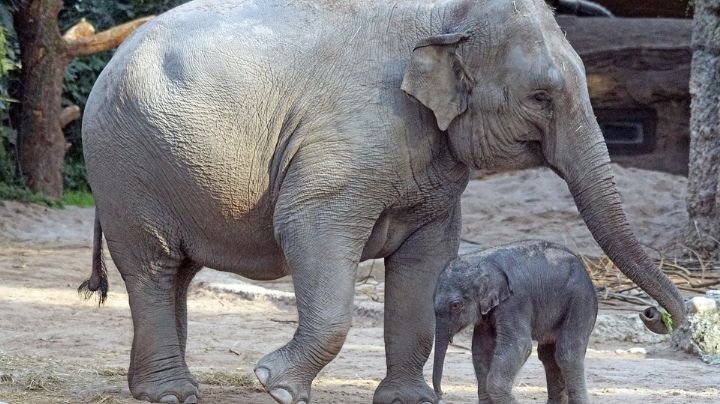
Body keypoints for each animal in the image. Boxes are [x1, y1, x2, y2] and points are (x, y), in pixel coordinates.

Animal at [432, 240, 598, 404]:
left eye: (455, 305)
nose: (441, 395)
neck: (481, 260)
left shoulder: (515, 301)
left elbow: (520, 345)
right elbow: (481, 349)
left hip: (580, 301)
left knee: (567, 353)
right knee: (548, 355)